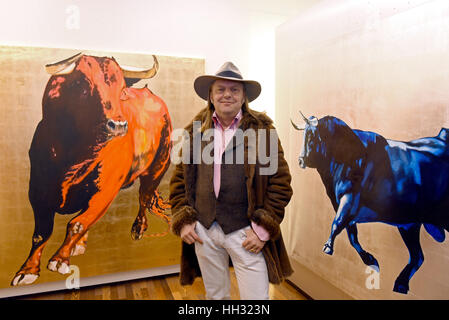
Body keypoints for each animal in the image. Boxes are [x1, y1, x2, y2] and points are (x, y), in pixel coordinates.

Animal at [290, 113, 448, 296]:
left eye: (312, 136)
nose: (300, 161)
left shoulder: (349, 200)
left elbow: (337, 224)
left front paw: (328, 246)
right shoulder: (345, 208)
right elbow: (352, 237)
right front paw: (371, 259)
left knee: (418, 256)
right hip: (409, 225)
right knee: (417, 256)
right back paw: (400, 284)